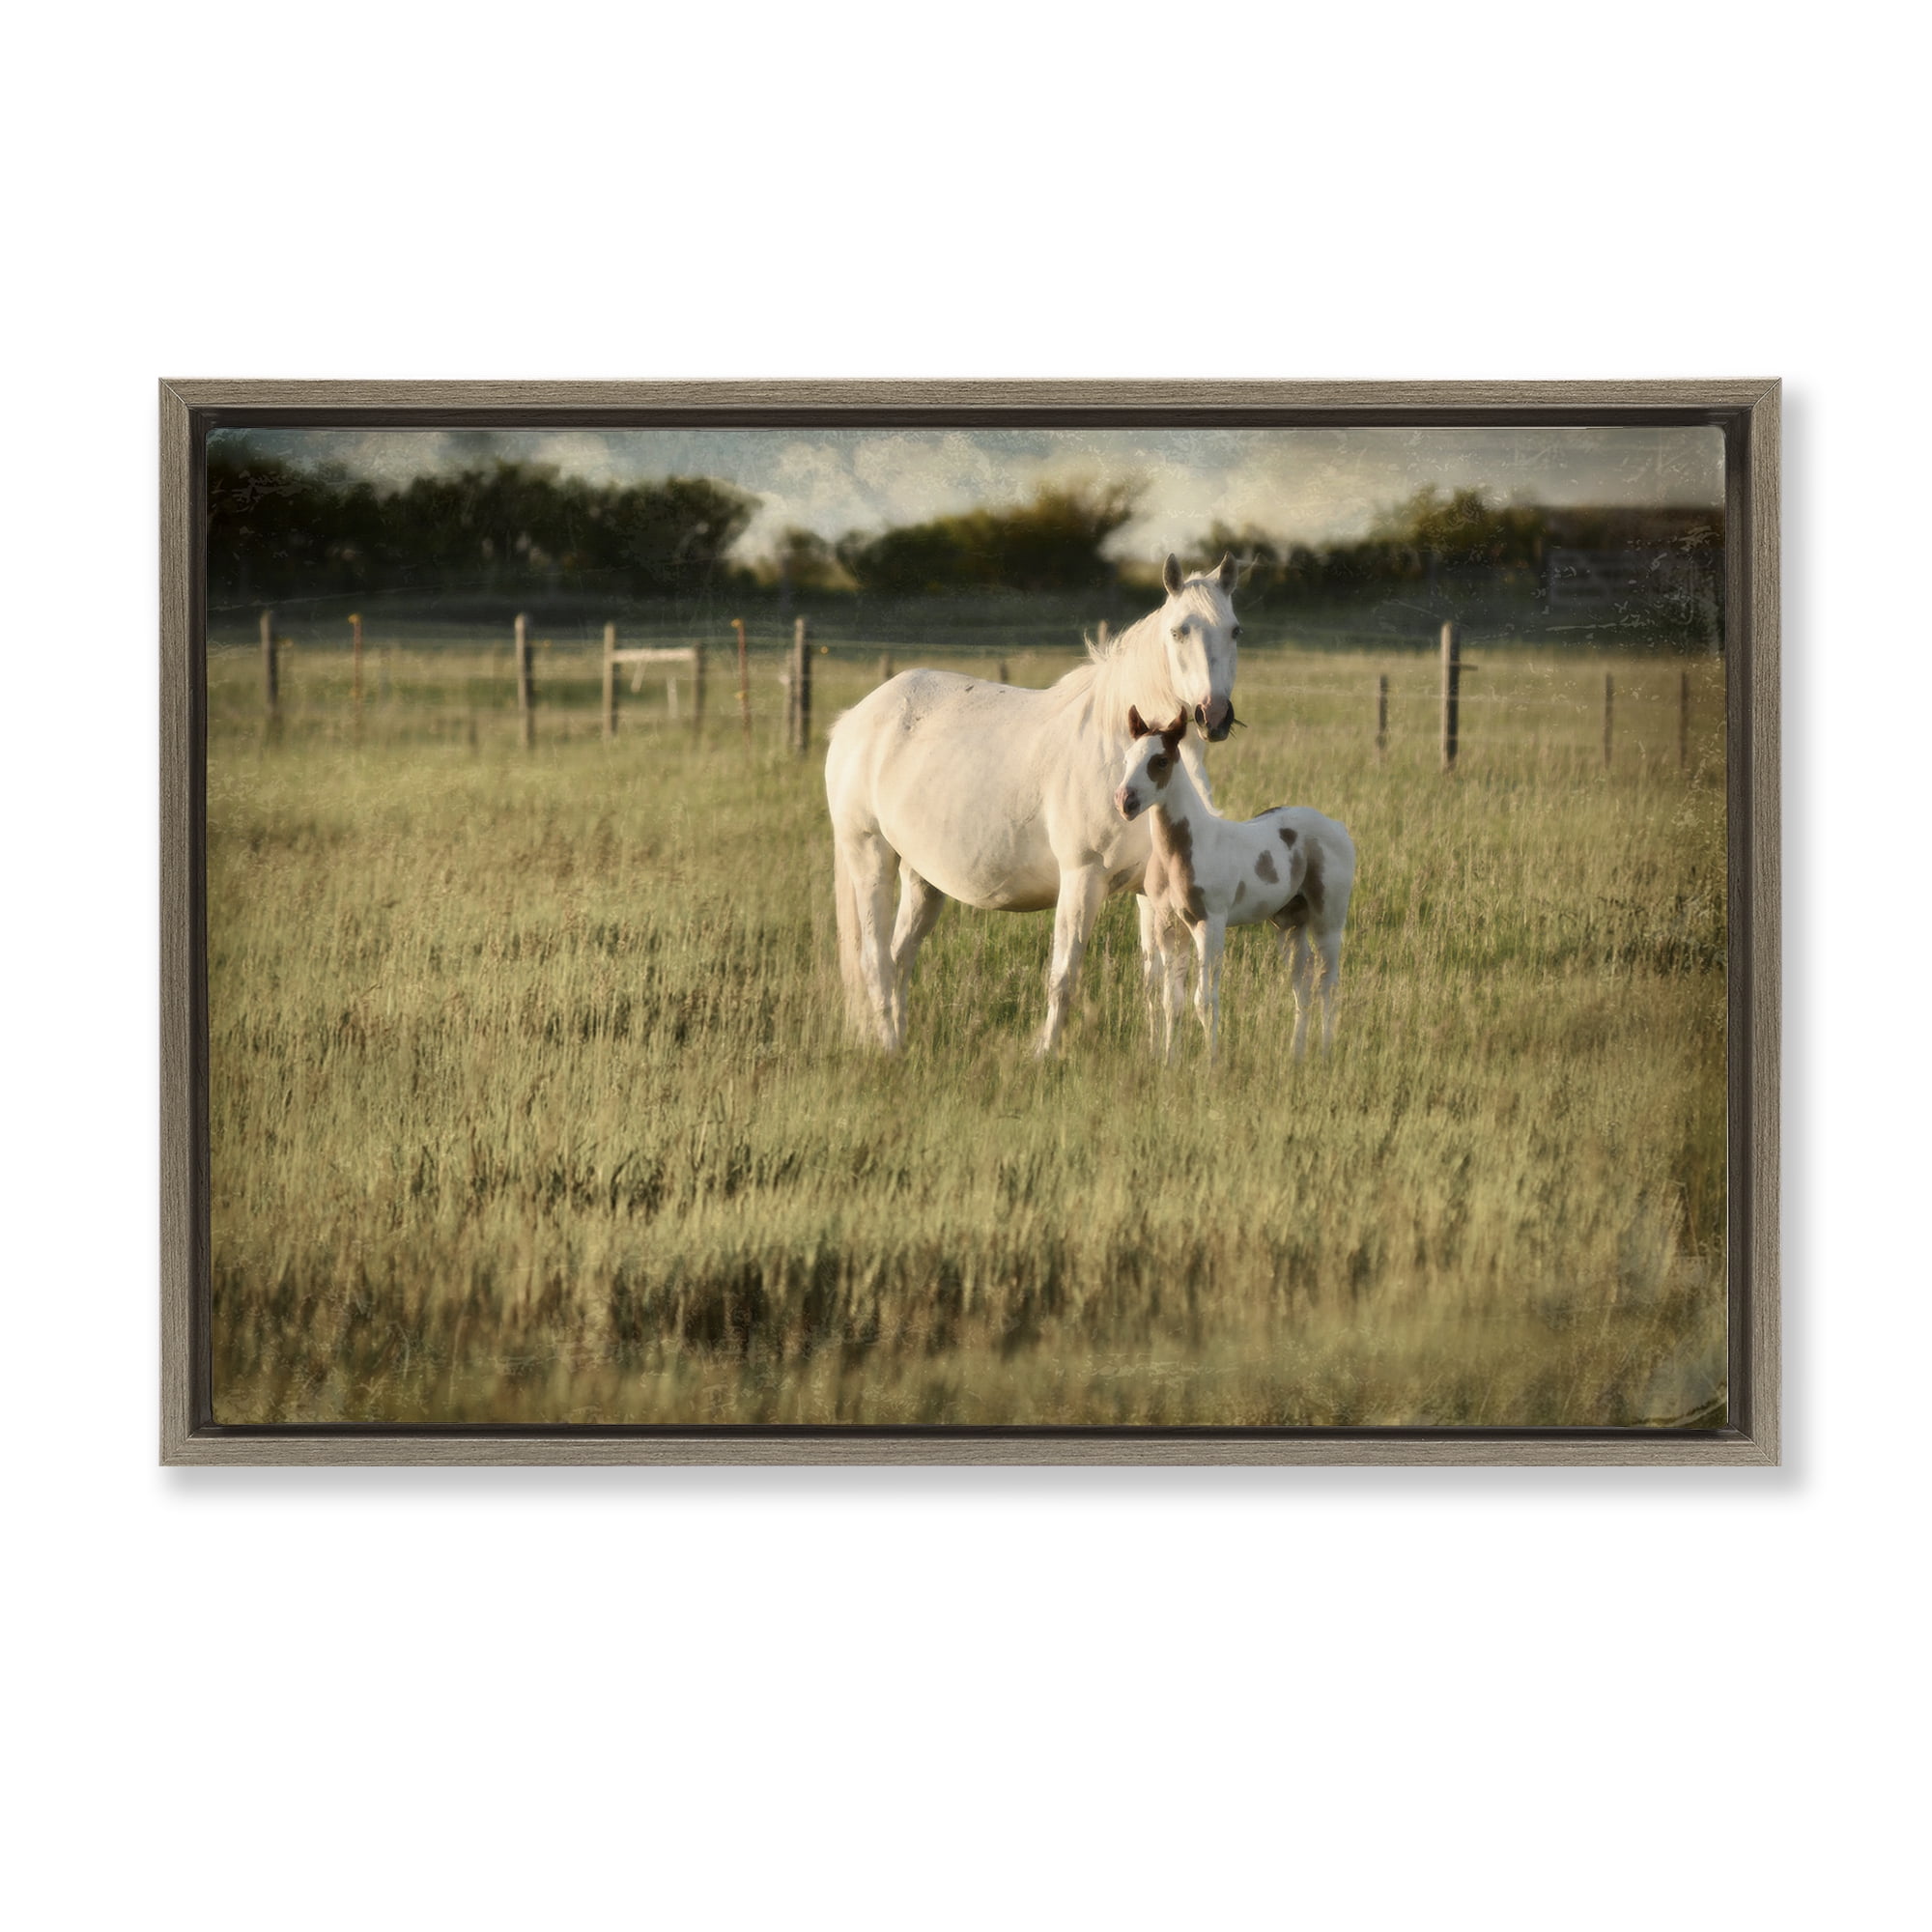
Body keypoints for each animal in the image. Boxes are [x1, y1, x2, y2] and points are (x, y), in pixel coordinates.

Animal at [825, 553, 1242, 1054]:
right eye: (1179, 631)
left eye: (1235, 630)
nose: (1213, 716)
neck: (1116, 750)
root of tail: (854, 719)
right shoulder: (1081, 878)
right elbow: (1064, 976)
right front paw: (1045, 1053)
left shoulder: (1150, 891)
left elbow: (1158, 981)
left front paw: (1156, 1053)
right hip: (870, 858)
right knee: (875, 961)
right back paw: (889, 1047)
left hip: (922, 879)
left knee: (900, 957)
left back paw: (901, 1041)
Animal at [1116, 709, 1355, 1063]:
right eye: (1127, 758)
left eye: (1160, 760)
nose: (1124, 801)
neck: (1181, 851)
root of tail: (1338, 827)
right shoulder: (1169, 926)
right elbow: (1171, 1000)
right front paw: (1170, 1061)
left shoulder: (1209, 923)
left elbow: (1204, 1000)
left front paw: (1210, 1062)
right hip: (1289, 924)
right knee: (1303, 981)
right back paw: (1295, 1055)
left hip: (1328, 920)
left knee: (1328, 983)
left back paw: (1324, 1053)